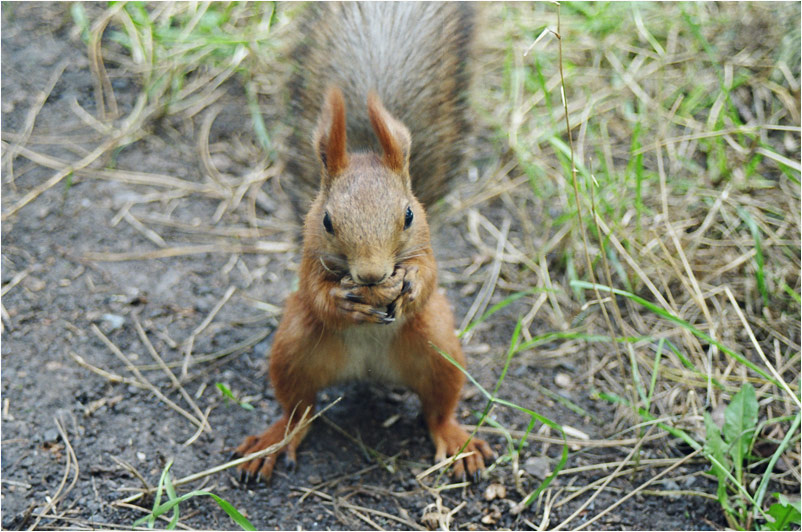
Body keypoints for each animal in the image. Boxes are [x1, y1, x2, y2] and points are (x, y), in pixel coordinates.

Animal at [233, 2, 492, 483]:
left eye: (408, 214)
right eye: (327, 220)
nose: (372, 274)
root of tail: (368, 371)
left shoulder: (425, 245)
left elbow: (429, 275)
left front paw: (409, 284)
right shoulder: (308, 254)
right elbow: (316, 292)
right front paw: (342, 299)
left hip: (439, 350)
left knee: (438, 410)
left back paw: (458, 442)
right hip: (293, 348)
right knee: (299, 409)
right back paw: (271, 443)